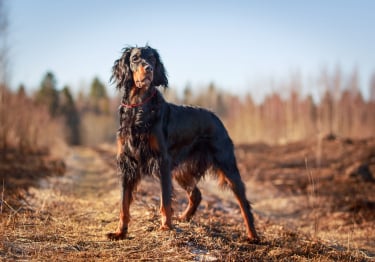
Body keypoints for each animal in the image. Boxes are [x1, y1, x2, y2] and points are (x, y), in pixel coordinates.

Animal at [106, 44, 258, 242]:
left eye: (152, 59)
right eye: (135, 59)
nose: (149, 69)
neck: (139, 107)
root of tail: (215, 117)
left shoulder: (162, 160)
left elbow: (165, 199)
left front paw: (166, 227)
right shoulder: (127, 162)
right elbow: (123, 204)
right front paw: (120, 232)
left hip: (227, 165)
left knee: (243, 202)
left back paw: (253, 235)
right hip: (181, 171)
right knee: (196, 194)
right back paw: (184, 217)